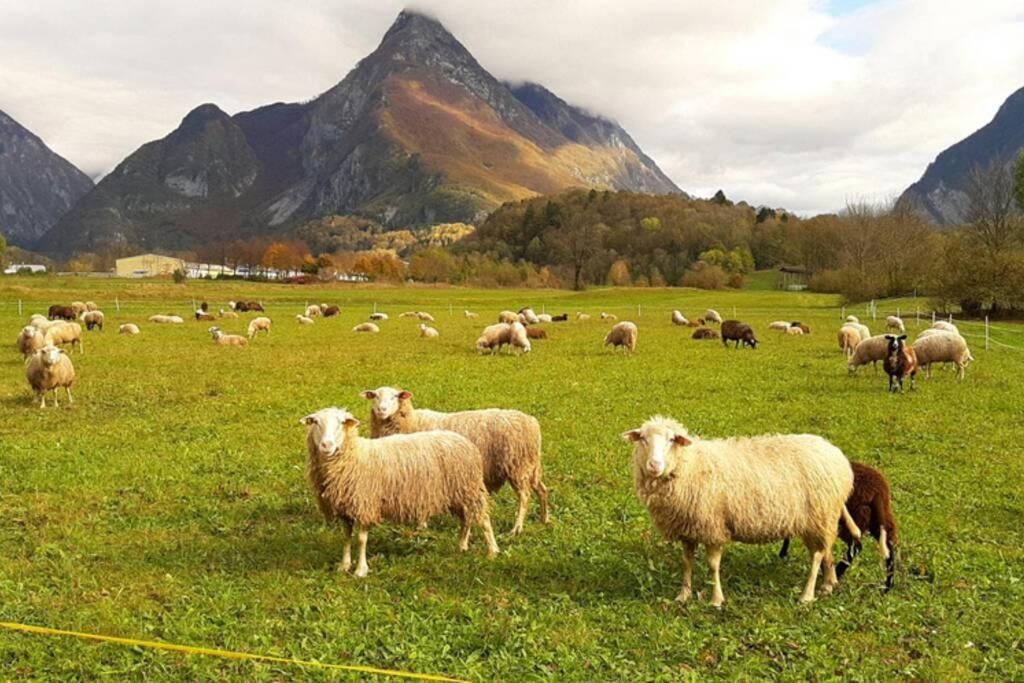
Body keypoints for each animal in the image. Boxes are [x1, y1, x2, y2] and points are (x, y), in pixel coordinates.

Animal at [299, 405, 499, 577]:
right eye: (315, 422)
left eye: (341, 423)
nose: (326, 445)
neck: (354, 455)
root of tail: (464, 441)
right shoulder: (345, 507)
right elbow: (346, 537)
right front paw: (344, 565)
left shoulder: (365, 503)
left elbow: (361, 539)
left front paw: (361, 570)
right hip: (459, 492)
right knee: (467, 518)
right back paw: (462, 545)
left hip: (470, 489)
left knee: (483, 519)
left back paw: (492, 551)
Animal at [364, 387, 548, 536]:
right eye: (375, 396)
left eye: (395, 396)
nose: (381, 410)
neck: (411, 421)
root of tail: (532, 422)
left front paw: (421, 525)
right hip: (531, 466)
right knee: (542, 489)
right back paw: (544, 519)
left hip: (517, 466)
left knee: (524, 497)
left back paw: (517, 528)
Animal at [622, 419, 856, 606]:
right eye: (642, 438)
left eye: (671, 440)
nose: (654, 465)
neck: (690, 465)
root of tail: (836, 453)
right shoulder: (688, 529)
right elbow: (687, 562)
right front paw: (683, 595)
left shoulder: (713, 526)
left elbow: (712, 565)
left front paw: (716, 600)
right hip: (822, 519)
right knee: (827, 550)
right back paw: (829, 584)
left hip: (819, 516)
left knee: (817, 555)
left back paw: (807, 595)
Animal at [778, 458, 901, 593]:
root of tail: (878, 491)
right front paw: (783, 553)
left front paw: (783, 553)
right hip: (878, 520)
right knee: (889, 547)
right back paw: (888, 586)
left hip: (852, 518)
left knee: (855, 547)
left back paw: (835, 574)